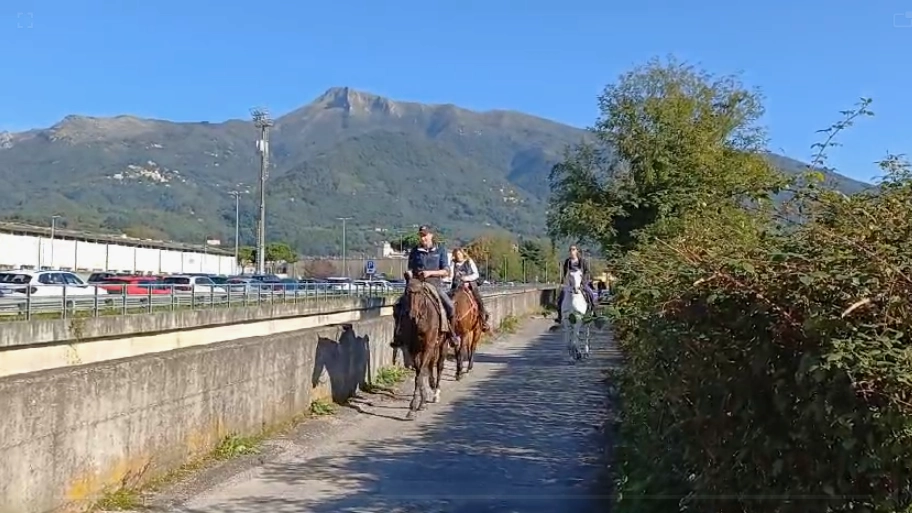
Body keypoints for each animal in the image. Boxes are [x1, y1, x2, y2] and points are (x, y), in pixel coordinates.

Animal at [398, 278, 448, 418]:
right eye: (407, 292)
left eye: (420, 292)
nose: (412, 315)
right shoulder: (414, 350)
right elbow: (418, 374)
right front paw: (420, 403)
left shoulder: (428, 347)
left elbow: (420, 374)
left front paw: (415, 404)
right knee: (430, 366)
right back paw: (431, 385)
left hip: (442, 345)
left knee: (439, 366)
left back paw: (436, 393)